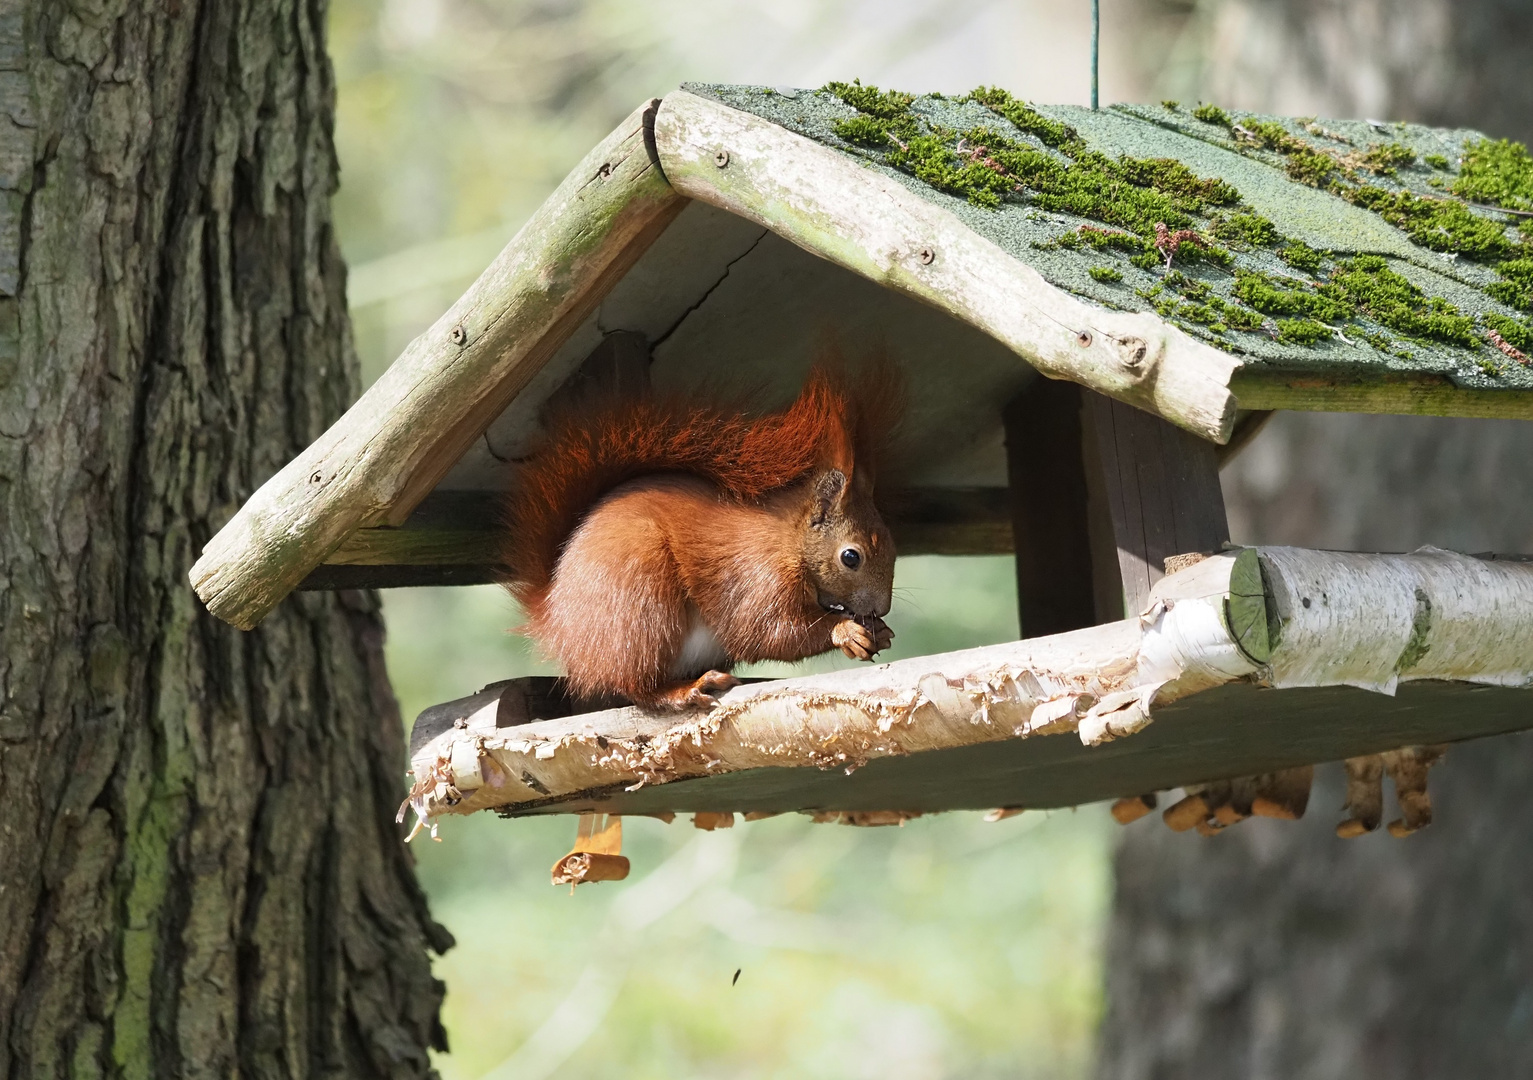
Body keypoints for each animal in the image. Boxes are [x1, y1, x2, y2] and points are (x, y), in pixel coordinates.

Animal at [502, 361, 901, 710]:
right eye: (851, 557)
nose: (882, 608)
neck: (789, 543)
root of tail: (556, 618)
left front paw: (878, 631)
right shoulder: (757, 580)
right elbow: (768, 633)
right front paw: (845, 631)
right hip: (639, 603)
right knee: (635, 685)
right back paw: (685, 690)